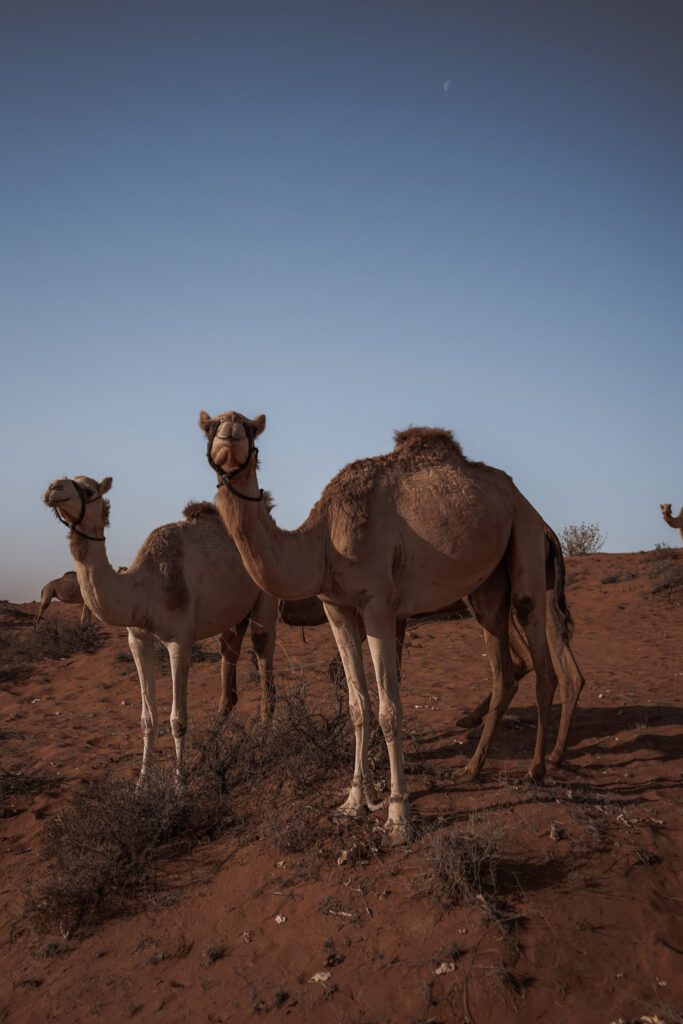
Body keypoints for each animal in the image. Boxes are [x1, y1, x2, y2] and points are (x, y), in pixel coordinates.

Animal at [41, 475, 278, 778]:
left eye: (88, 490)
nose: (54, 488)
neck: (144, 587)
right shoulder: (138, 639)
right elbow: (147, 720)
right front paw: (142, 783)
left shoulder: (180, 641)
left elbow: (178, 720)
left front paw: (180, 784)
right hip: (232, 616)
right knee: (229, 667)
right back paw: (204, 758)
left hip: (266, 591)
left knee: (263, 656)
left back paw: (261, 749)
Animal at [198, 411, 573, 843]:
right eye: (208, 427)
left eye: (251, 429)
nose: (229, 434)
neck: (323, 541)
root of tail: (531, 508)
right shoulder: (336, 607)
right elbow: (358, 706)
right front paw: (352, 803)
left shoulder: (378, 602)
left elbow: (390, 709)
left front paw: (397, 816)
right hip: (488, 588)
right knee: (503, 666)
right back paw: (473, 767)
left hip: (524, 537)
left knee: (543, 660)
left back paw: (537, 768)